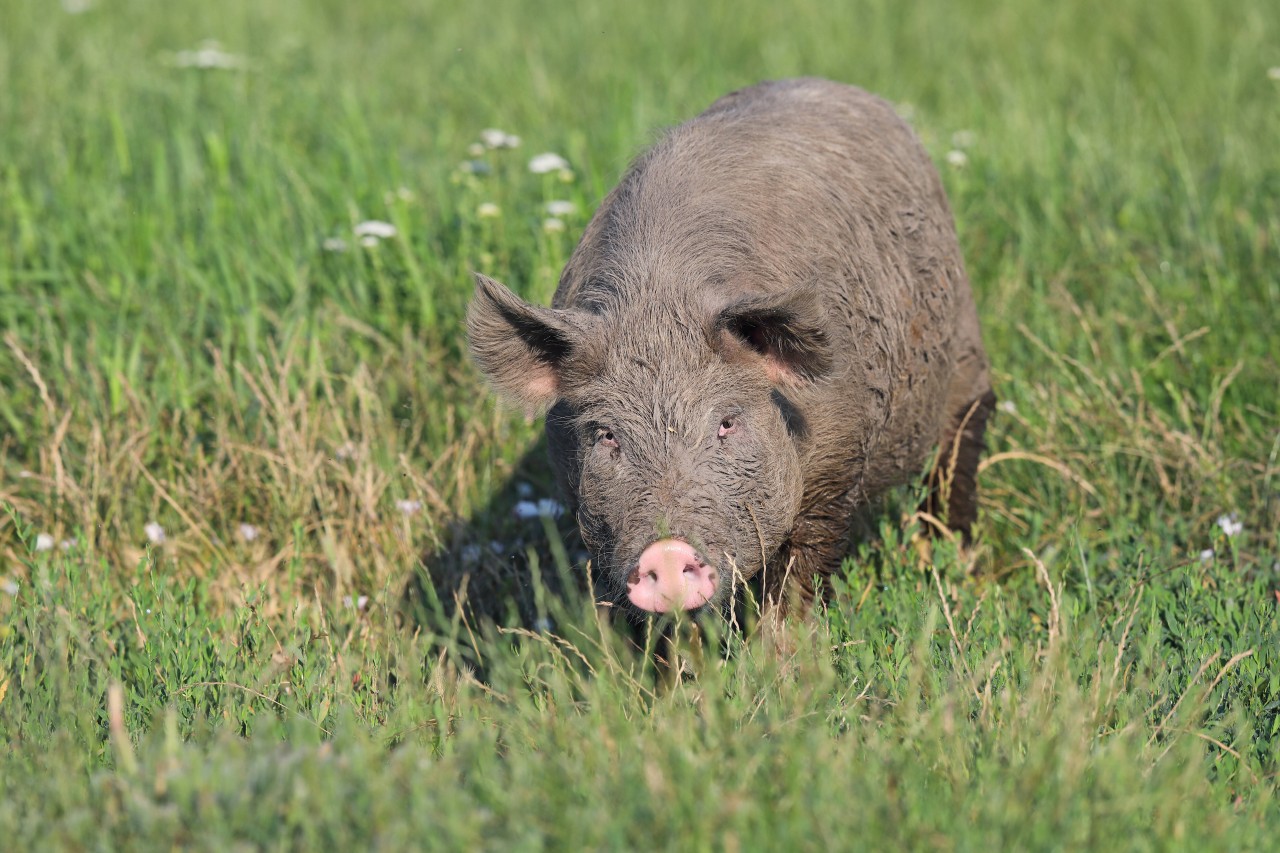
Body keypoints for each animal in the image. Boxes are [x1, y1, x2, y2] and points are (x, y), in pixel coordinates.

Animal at [465, 78, 993, 625]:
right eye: (607, 435)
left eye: (726, 423)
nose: (666, 552)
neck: (660, 299)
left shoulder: (836, 463)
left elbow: (797, 578)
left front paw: (784, 648)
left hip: (965, 352)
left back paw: (957, 570)